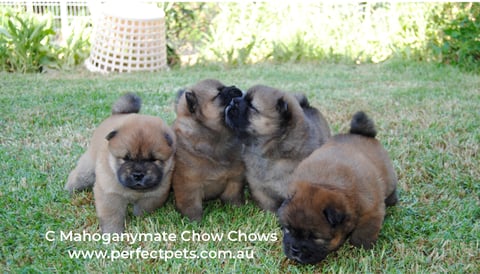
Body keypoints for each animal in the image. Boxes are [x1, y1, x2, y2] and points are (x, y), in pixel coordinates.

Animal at [64, 93, 175, 233]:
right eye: (126, 158)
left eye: (153, 160)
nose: (138, 175)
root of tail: (116, 114)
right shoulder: (110, 193)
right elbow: (112, 215)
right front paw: (112, 232)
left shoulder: (156, 194)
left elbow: (144, 207)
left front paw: (138, 218)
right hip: (87, 169)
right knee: (77, 176)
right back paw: (68, 189)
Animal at [172, 78, 246, 222]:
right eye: (219, 94)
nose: (236, 88)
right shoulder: (188, 184)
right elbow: (192, 205)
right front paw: (194, 221)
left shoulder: (235, 178)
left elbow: (233, 196)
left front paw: (237, 210)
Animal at [278, 111, 398, 264]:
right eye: (287, 229)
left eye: (315, 237)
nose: (294, 249)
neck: (325, 184)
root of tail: (361, 134)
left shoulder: (371, 211)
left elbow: (364, 233)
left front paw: (361, 248)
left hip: (389, 178)